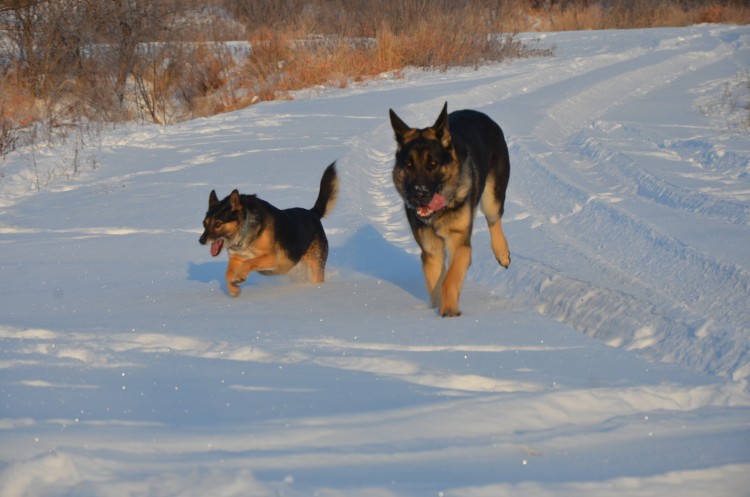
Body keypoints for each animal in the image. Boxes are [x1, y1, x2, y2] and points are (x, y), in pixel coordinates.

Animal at [201, 161, 340, 296]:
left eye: (218, 224)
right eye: (204, 223)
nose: (201, 240)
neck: (245, 231)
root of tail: (313, 213)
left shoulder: (273, 258)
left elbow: (249, 262)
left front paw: (240, 277)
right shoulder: (236, 259)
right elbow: (228, 274)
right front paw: (233, 289)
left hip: (315, 266)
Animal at [390, 102, 516, 316]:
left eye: (433, 164)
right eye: (409, 165)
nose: (419, 194)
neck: (440, 211)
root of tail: (480, 115)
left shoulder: (459, 243)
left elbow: (448, 280)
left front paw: (450, 313)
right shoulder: (431, 251)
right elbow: (436, 286)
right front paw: (439, 309)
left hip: (491, 198)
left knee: (494, 220)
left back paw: (502, 252)